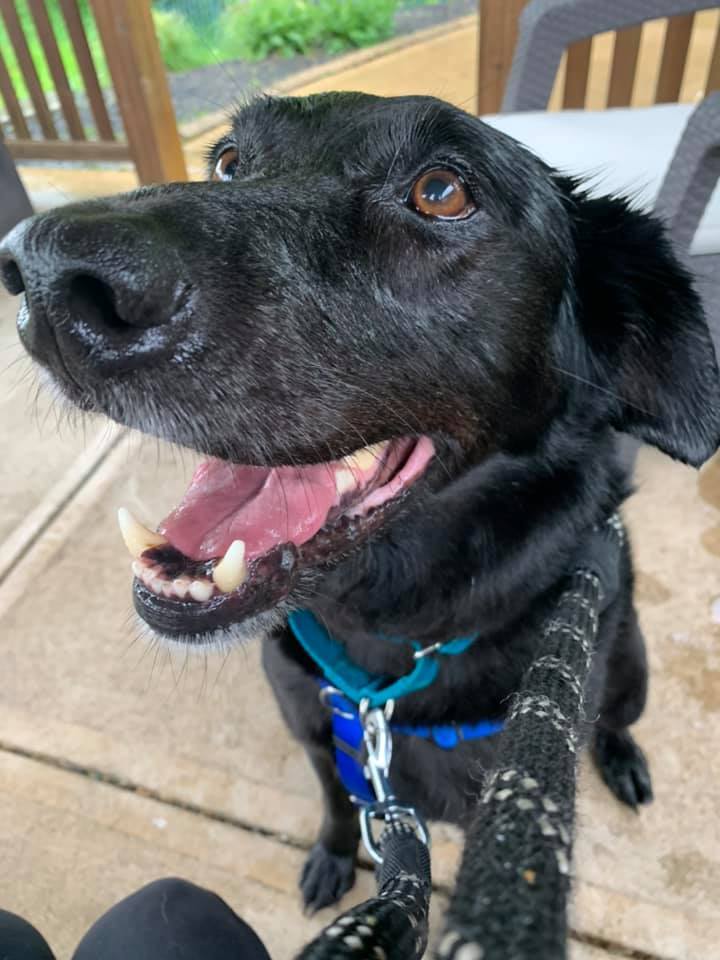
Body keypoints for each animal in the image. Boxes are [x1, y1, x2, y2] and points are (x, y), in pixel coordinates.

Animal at [1, 94, 720, 912]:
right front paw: (334, 856)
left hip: (631, 670)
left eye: (441, 192)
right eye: (228, 160)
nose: (44, 276)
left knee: (615, 720)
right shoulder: (318, 733)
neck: (391, 647)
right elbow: (338, 804)